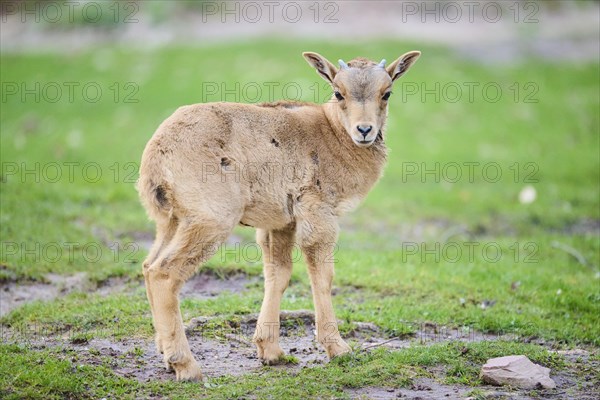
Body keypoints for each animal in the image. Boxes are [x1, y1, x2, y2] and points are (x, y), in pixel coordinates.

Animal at [138, 50, 422, 382]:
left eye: (386, 93)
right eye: (338, 92)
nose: (364, 131)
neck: (332, 134)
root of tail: (157, 154)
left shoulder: (280, 223)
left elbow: (278, 274)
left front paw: (270, 350)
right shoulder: (317, 211)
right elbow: (322, 275)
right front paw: (337, 348)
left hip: (171, 220)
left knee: (148, 265)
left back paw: (166, 354)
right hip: (210, 219)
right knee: (164, 273)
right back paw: (186, 365)